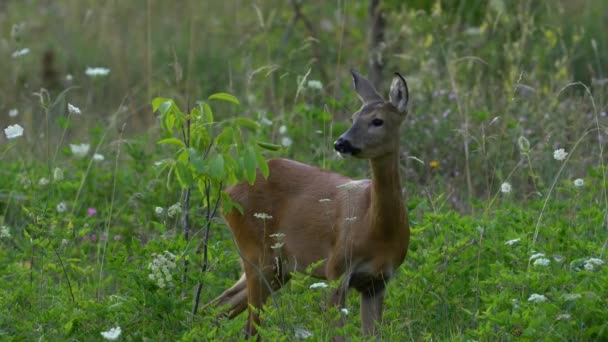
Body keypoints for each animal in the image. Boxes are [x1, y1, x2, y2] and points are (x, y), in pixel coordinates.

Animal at [204, 69, 408, 340]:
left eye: (378, 121)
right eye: (353, 117)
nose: (341, 143)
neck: (375, 226)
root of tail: (229, 192)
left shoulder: (377, 281)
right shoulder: (336, 270)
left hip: (279, 269)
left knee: (216, 306)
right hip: (258, 256)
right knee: (248, 328)